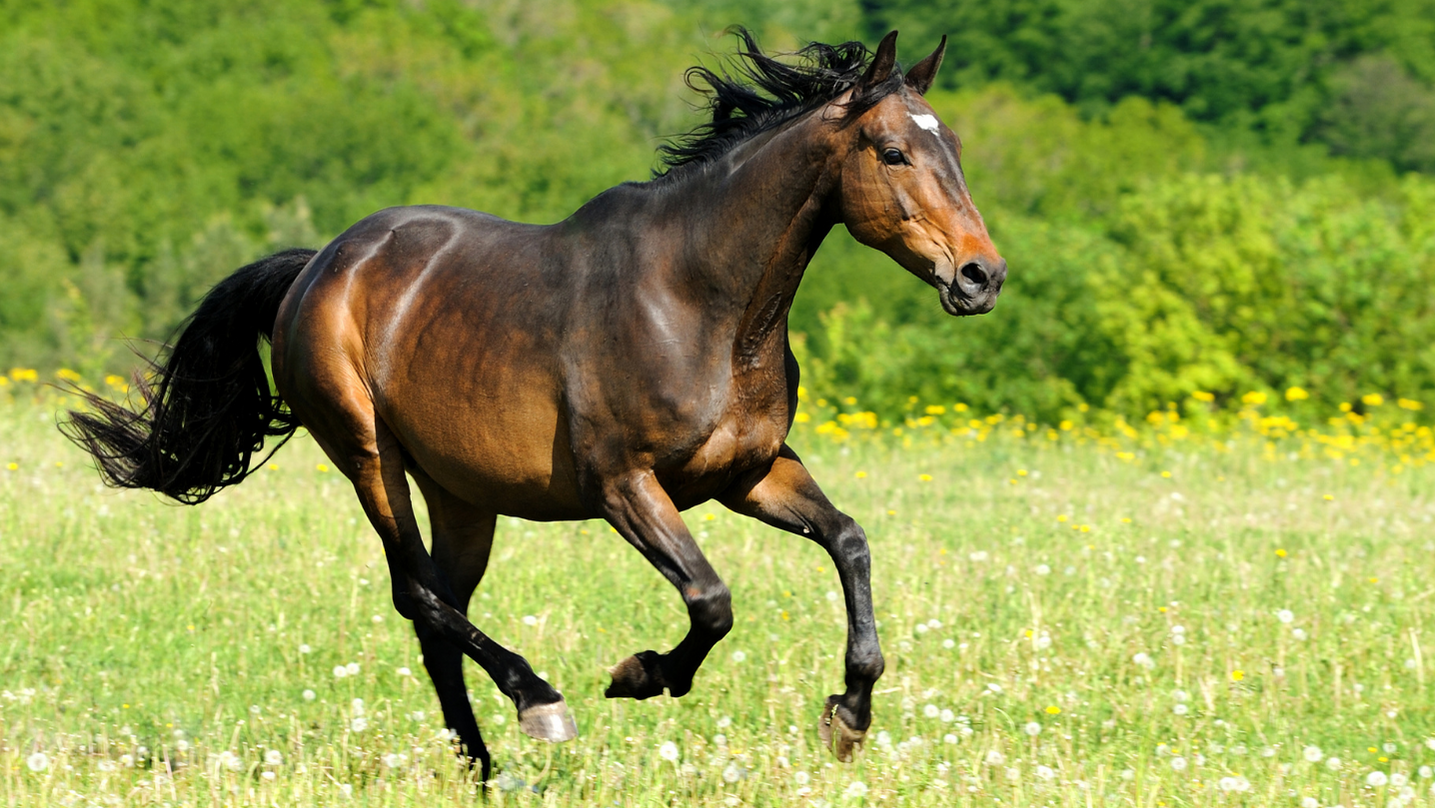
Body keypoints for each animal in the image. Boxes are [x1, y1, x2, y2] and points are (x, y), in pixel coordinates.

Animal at [62, 29, 1004, 781]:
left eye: (956, 145)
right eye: (891, 151)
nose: (980, 277)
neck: (701, 302)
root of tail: (317, 266)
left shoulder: (751, 473)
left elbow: (849, 542)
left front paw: (847, 716)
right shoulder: (623, 485)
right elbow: (710, 599)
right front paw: (640, 675)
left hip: (462, 495)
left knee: (437, 613)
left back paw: (482, 767)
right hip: (369, 456)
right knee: (415, 594)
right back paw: (538, 703)